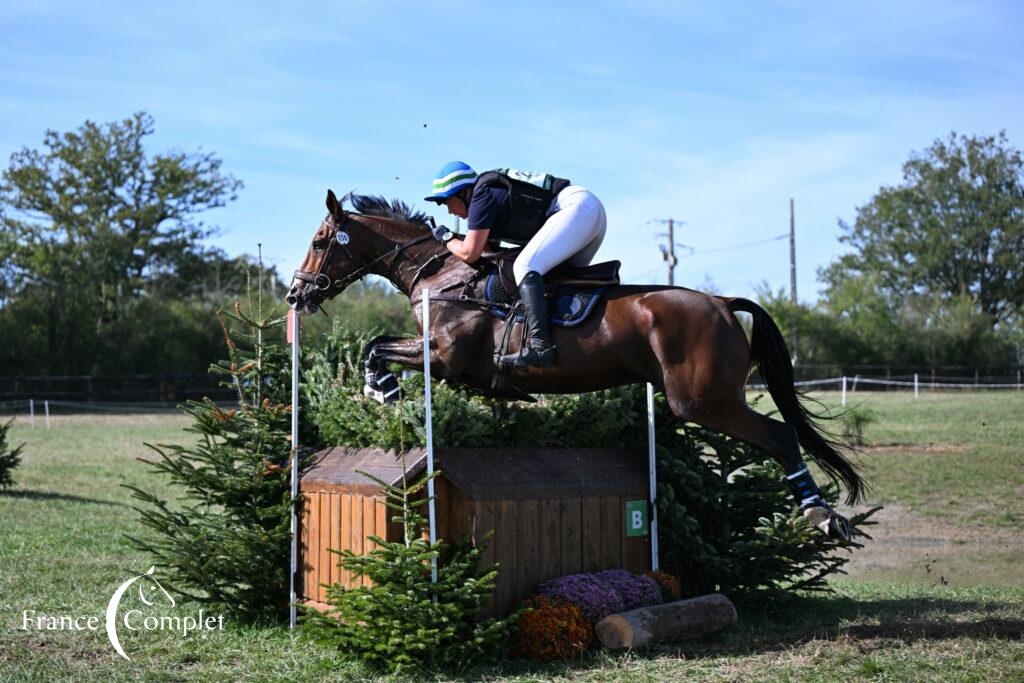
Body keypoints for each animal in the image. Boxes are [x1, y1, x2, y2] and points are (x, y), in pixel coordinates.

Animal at [288, 188, 864, 540]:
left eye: (319, 242)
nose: (296, 295)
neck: (441, 276)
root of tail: (723, 303)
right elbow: (377, 343)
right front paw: (382, 388)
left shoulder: (446, 357)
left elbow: (377, 346)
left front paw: (382, 388)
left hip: (703, 401)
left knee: (780, 435)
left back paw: (822, 515)